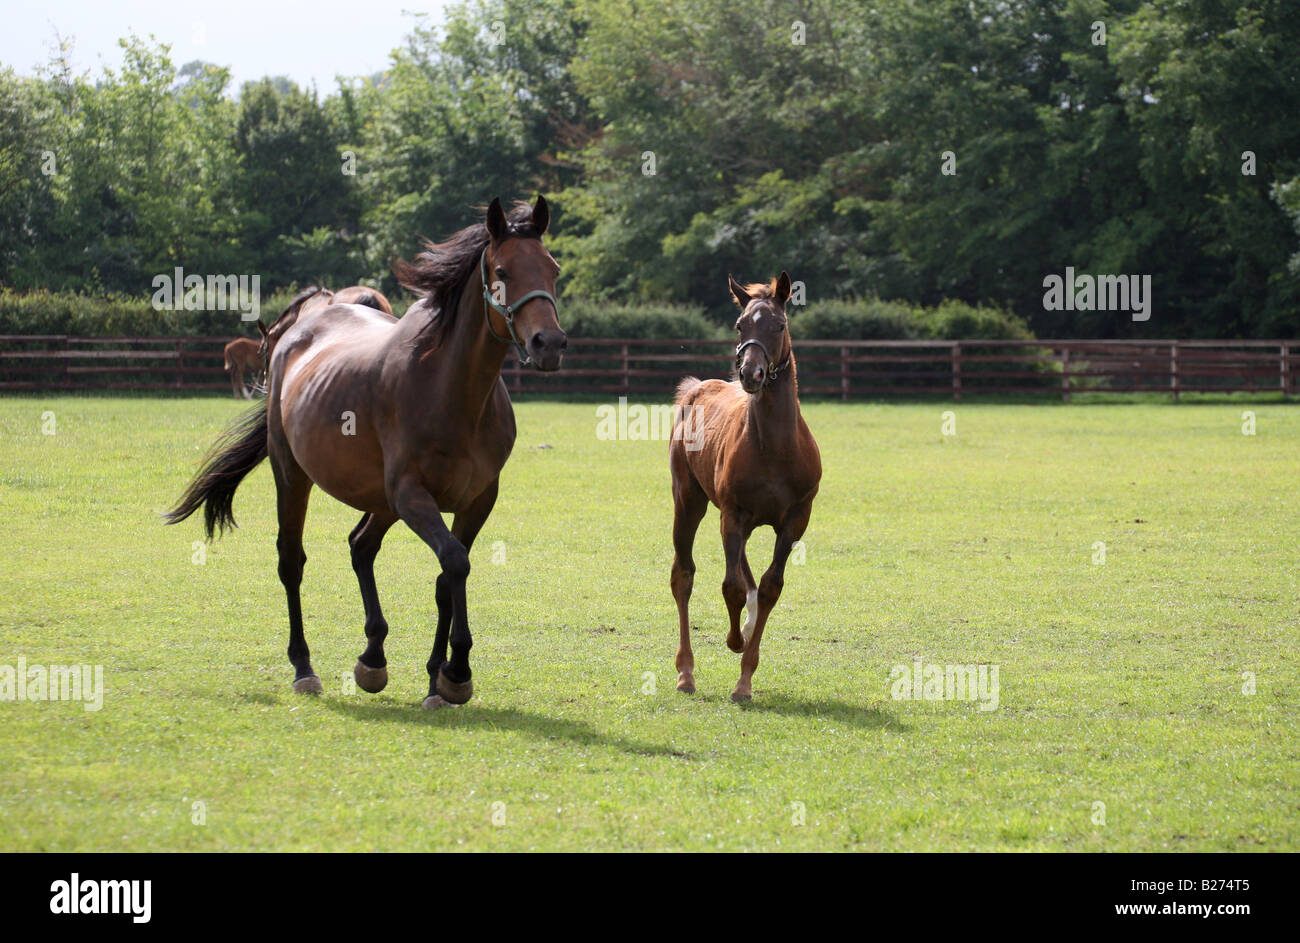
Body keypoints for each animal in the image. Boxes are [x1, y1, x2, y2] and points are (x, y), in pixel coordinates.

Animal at [167, 199, 564, 707]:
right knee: (291, 560)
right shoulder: (412, 495)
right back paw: (305, 668)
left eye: (552, 269)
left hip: (381, 500)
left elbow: (446, 577)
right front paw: (457, 671)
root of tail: (296, 333)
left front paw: (437, 680)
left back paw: (373, 659)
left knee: (361, 546)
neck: (451, 390)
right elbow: (455, 561)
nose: (548, 343)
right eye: (501, 270)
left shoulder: (477, 500)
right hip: (294, 475)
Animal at [670, 270, 821, 697]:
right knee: (683, 574)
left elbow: (770, 586)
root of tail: (695, 388)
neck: (774, 447)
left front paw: (745, 679)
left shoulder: (794, 521)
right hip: (689, 500)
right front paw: (735, 642)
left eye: (779, 324)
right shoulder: (733, 514)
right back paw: (686, 673)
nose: (751, 374)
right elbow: (731, 586)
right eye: (740, 325)